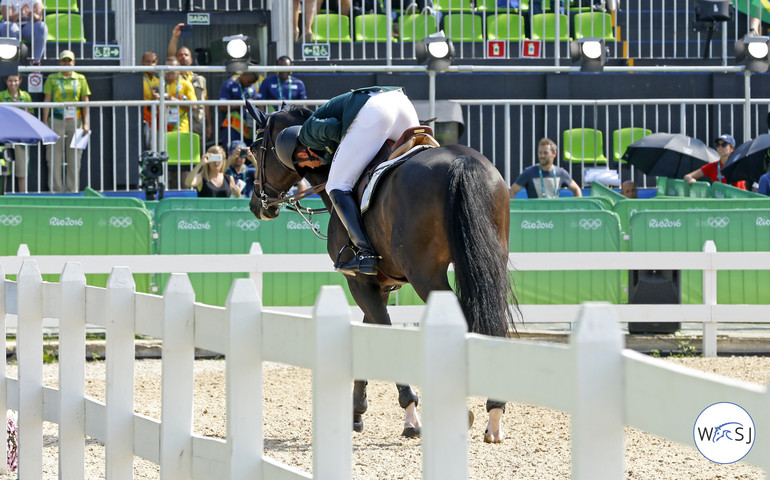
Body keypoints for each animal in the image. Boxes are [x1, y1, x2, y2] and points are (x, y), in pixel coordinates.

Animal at [249, 101, 520, 442]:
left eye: (254, 150)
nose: (258, 205)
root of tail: (463, 161)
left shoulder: (358, 281)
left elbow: (383, 335)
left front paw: (410, 415)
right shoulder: (378, 284)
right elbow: (371, 334)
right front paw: (356, 412)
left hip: (426, 276)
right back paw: (495, 411)